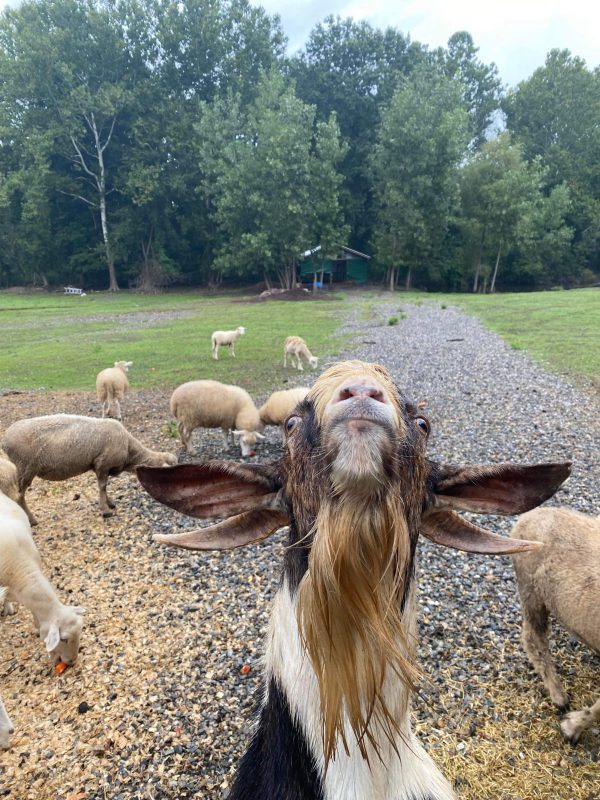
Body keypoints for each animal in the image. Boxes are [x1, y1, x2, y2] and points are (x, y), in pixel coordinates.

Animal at [2, 414, 177, 526]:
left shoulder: (100, 467)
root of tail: (5, 440)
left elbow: (104, 487)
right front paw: (105, 510)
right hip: (24, 468)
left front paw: (110, 503)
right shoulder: (102, 464)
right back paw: (31, 520)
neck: (129, 450)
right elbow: (102, 487)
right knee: (19, 497)